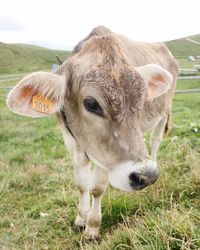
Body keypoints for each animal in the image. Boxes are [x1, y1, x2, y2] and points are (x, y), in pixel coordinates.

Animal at [6, 25, 179, 240]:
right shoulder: (71, 142)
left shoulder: (104, 156)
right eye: (91, 104)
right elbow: (82, 183)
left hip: (165, 111)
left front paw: (92, 227)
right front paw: (80, 219)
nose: (146, 175)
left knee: (155, 140)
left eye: (141, 100)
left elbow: (97, 188)